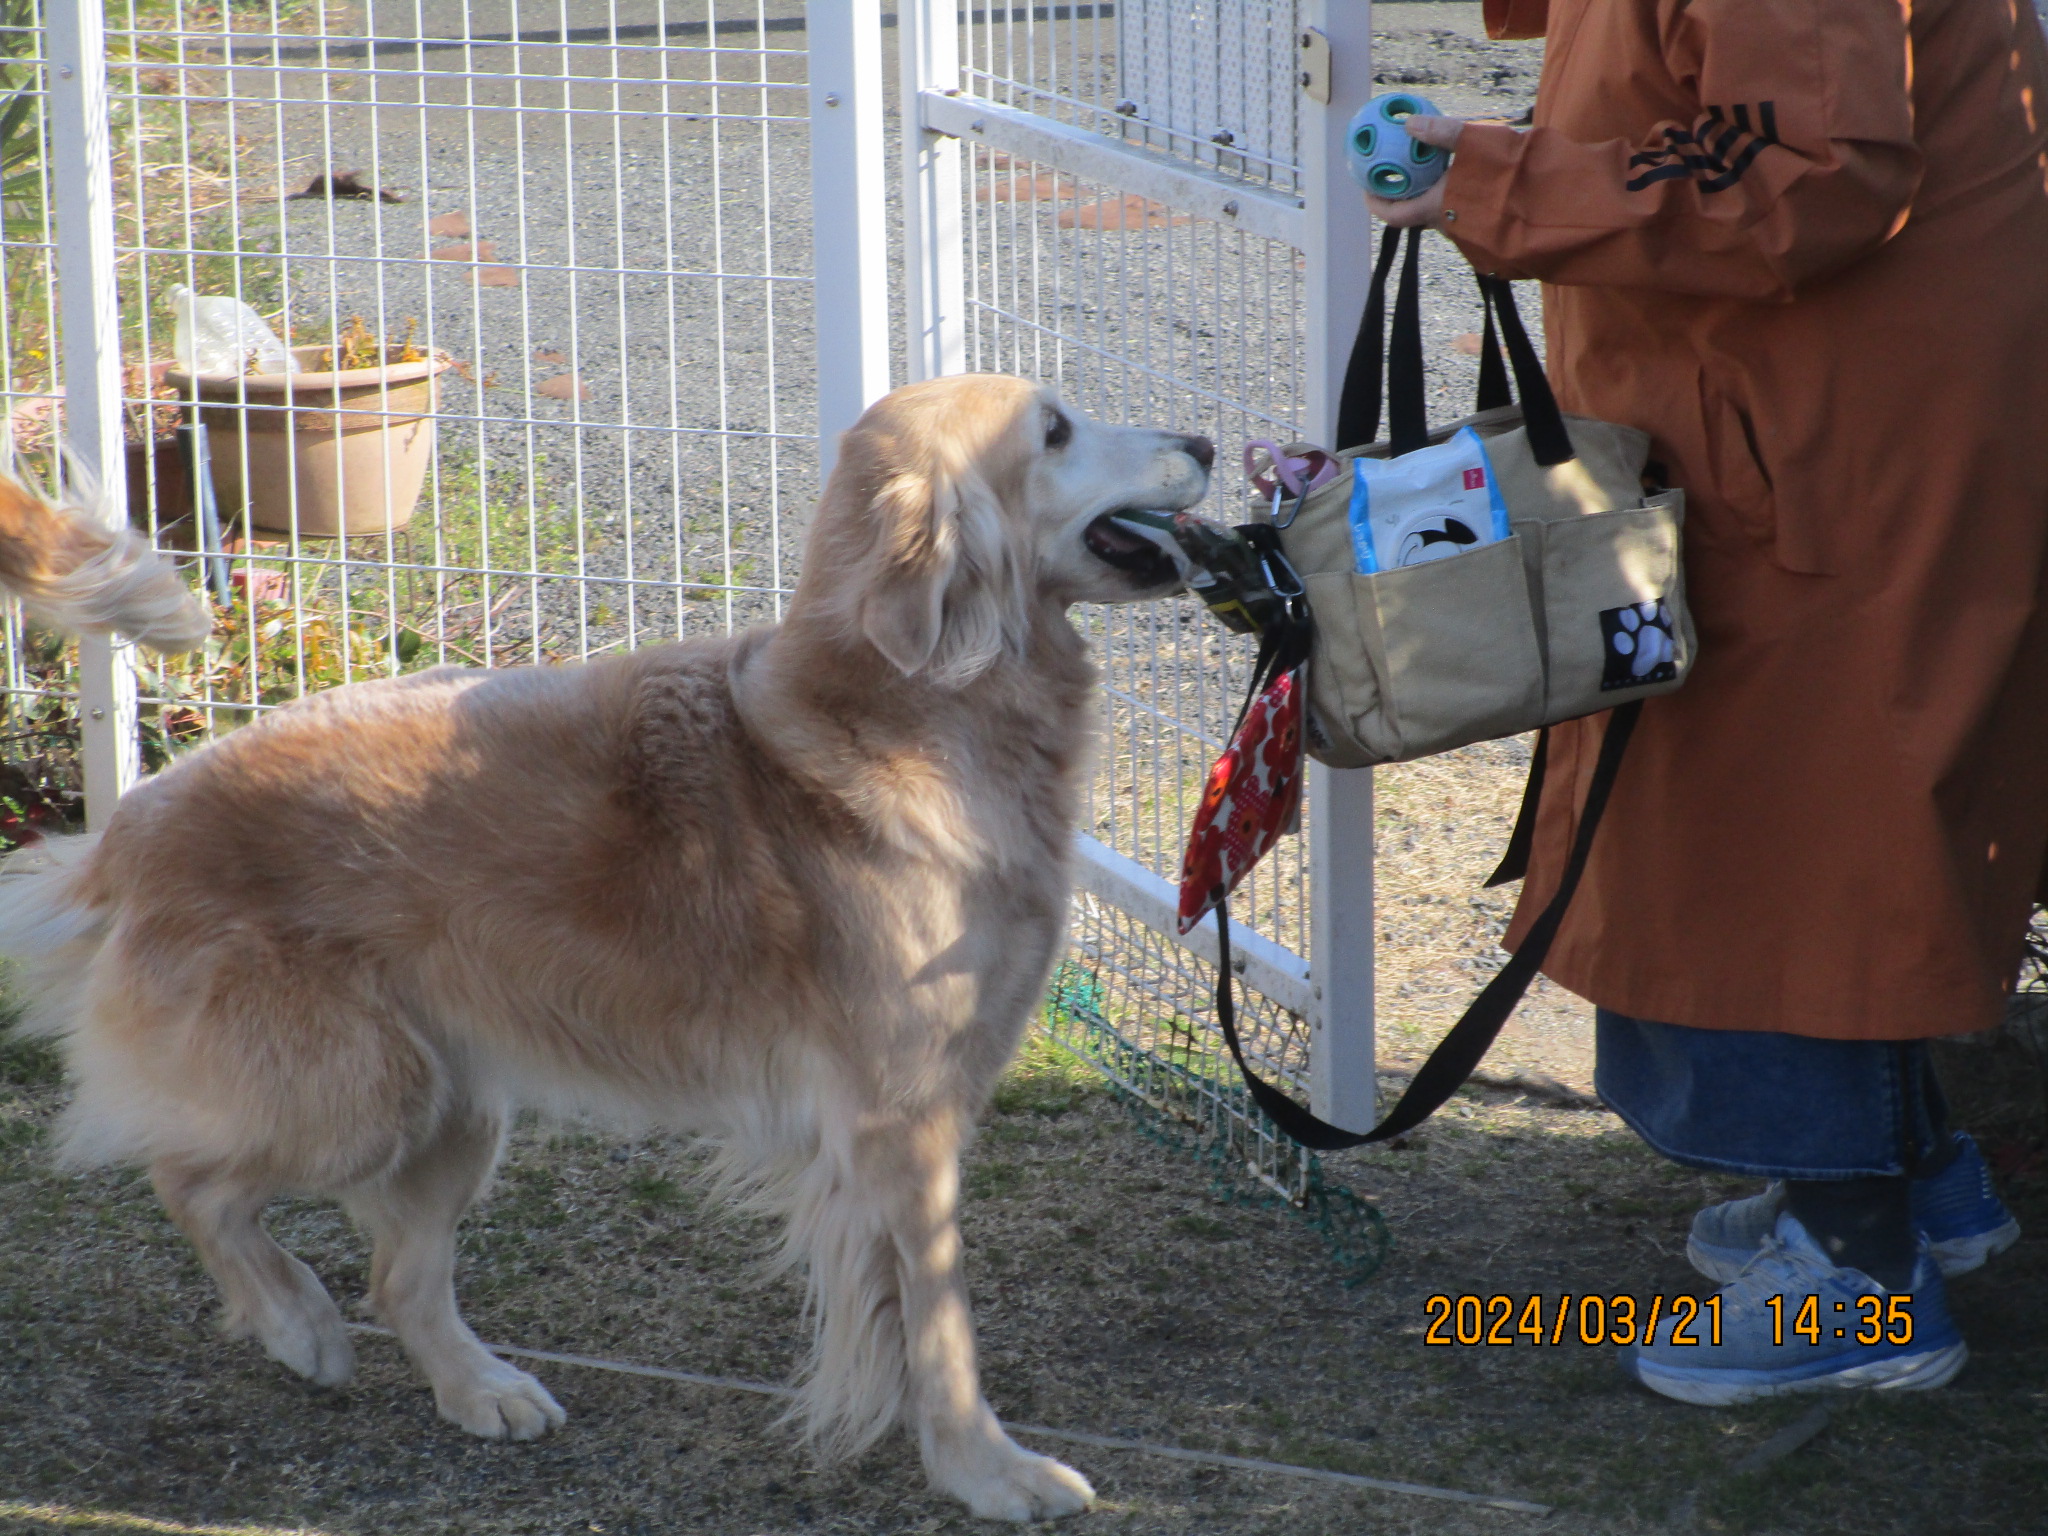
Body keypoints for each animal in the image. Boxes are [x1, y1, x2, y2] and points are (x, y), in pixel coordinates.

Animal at [0, 378, 1204, 1523]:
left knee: (398, 1278)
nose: (1200, 442)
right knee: (191, 1177)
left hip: (452, 1107)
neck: (914, 711)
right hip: (356, 1094)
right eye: (1053, 430)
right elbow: (943, 1323)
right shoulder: (903, 1121)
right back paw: (297, 1322)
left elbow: (889, 1311)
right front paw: (985, 1473)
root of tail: (133, 823)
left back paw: (480, 1388)